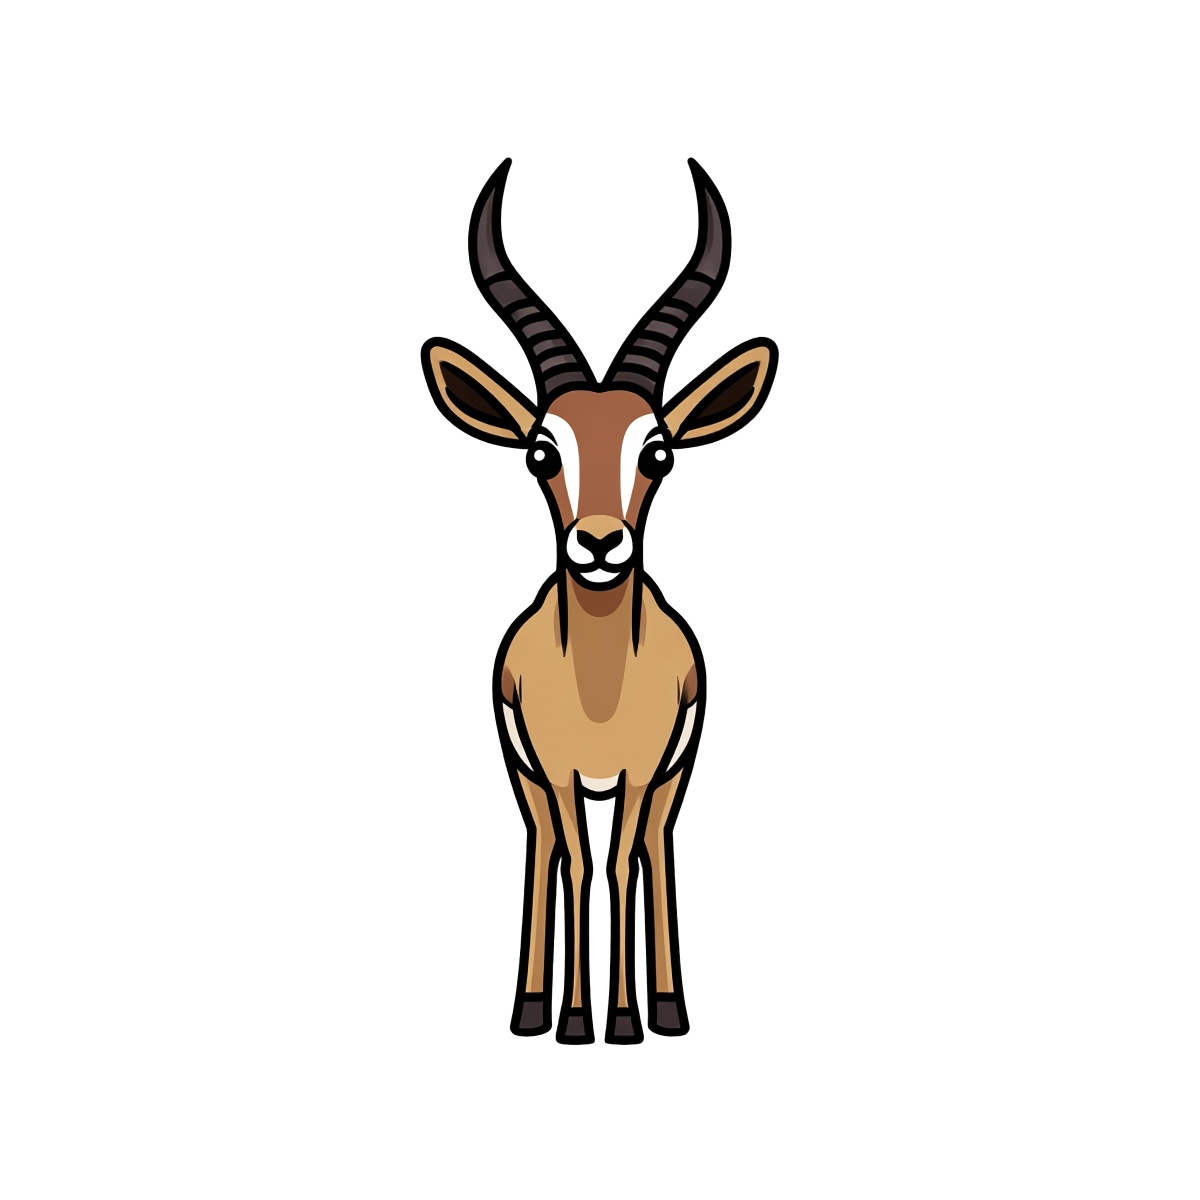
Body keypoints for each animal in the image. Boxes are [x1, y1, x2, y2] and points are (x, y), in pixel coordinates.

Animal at [420, 159, 777, 1043]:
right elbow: (578, 861)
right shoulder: (550, 767)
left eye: (659, 450)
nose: (600, 545)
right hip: (527, 778)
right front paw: (574, 1019)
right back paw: (529, 1008)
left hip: (673, 776)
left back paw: (670, 1009)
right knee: (548, 845)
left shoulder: (648, 768)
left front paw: (625, 1019)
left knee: (652, 846)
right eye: (541, 450)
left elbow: (621, 861)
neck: (600, 688)